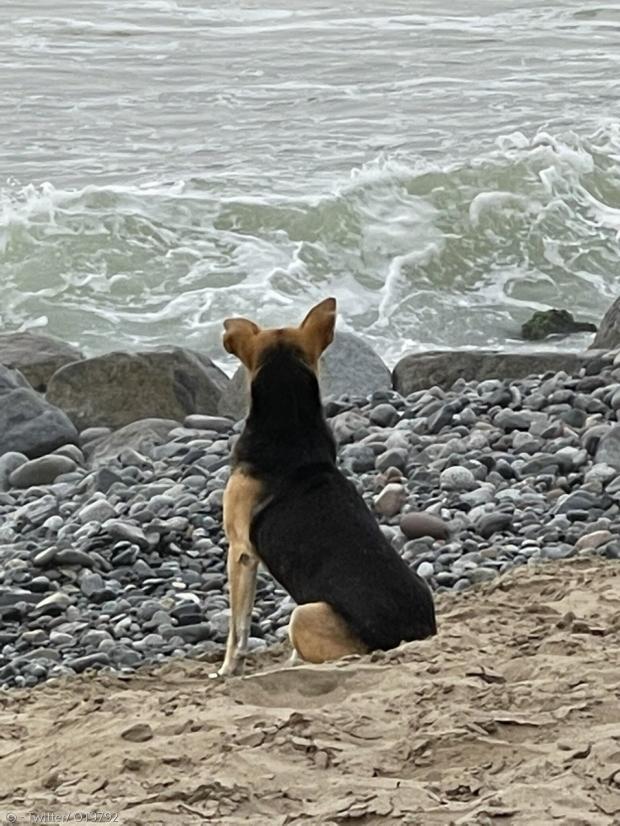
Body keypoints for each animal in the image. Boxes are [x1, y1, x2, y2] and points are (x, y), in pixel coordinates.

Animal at [217, 296, 436, 676]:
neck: (291, 425)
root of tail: (412, 635)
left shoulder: (240, 553)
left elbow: (238, 628)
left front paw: (228, 669)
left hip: (304, 614)